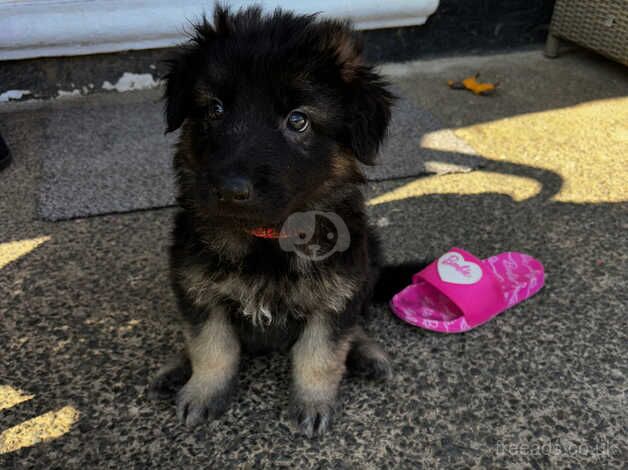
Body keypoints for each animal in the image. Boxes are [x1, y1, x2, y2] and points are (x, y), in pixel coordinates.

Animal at [149, 4, 392, 436]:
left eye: (298, 120)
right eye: (215, 109)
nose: (230, 190)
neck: (267, 238)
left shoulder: (336, 295)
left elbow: (321, 353)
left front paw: (312, 403)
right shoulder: (198, 292)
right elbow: (211, 348)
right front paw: (203, 393)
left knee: (356, 326)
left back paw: (366, 353)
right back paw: (176, 368)